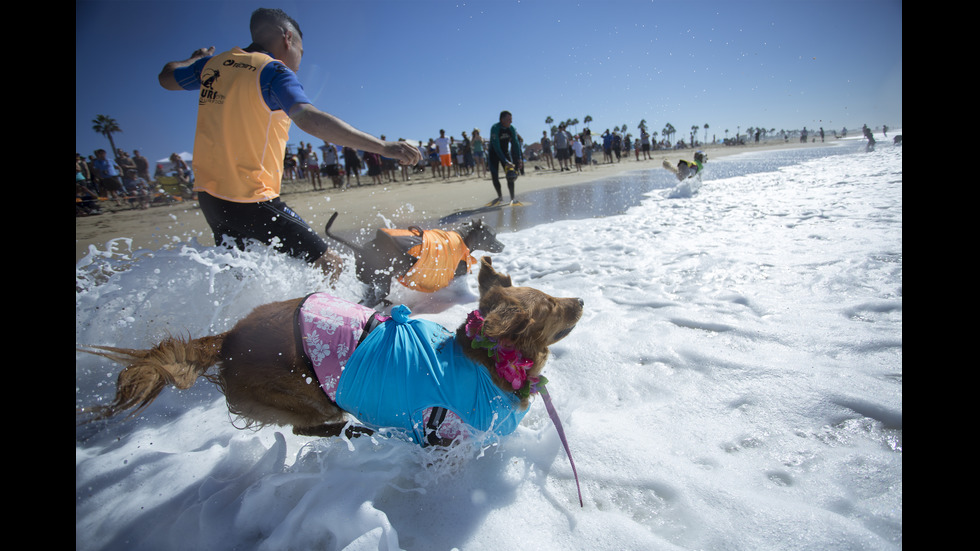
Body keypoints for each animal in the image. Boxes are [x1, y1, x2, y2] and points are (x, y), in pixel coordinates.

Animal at [78, 258, 580, 448]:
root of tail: (229, 337)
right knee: (306, 428)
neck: (485, 362)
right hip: (310, 393)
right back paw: (353, 431)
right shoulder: (446, 434)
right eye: (550, 307)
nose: (579, 300)